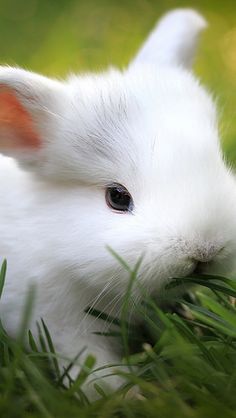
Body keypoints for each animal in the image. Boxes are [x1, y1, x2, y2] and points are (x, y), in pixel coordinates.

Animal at [0, 9, 236, 396]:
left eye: (219, 163)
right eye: (117, 197)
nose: (205, 250)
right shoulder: (55, 319)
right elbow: (89, 363)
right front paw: (128, 395)